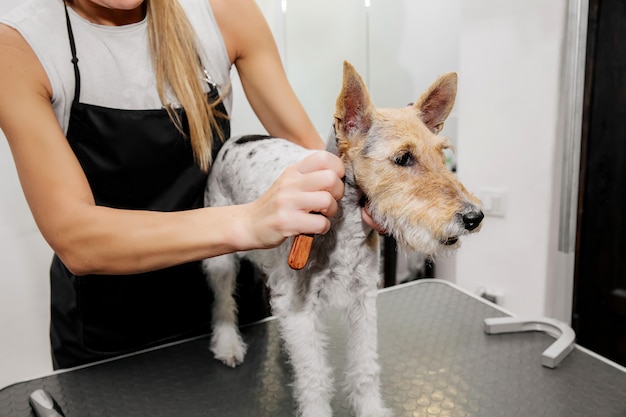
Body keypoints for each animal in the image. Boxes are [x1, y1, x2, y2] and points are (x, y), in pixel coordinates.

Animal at [202, 59, 480, 416]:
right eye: (403, 157)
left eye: (442, 152)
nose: (474, 217)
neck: (345, 226)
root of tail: (234, 140)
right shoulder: (301, 305)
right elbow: (315, 377)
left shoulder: (363, 297)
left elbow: (365, 367)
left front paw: (371, 409)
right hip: (221, 260)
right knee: (223, 301)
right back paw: (228, 344)